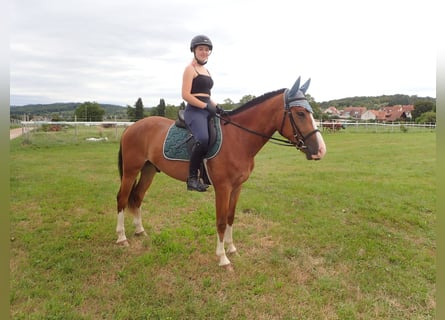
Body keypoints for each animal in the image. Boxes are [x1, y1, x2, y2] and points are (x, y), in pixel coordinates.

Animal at [115, 77, 326, 268]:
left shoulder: (237, 187)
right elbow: (221, 221)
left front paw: (232, 249)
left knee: (137, 197)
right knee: (122, 198)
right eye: (300, 113)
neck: (239, 138)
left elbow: (231, 217)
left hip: (149, 169)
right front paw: (223, 258)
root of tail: (131, 127)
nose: (320, 150)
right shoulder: (223, 188)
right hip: (131, 170)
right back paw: (122, 238)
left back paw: (140, 231)